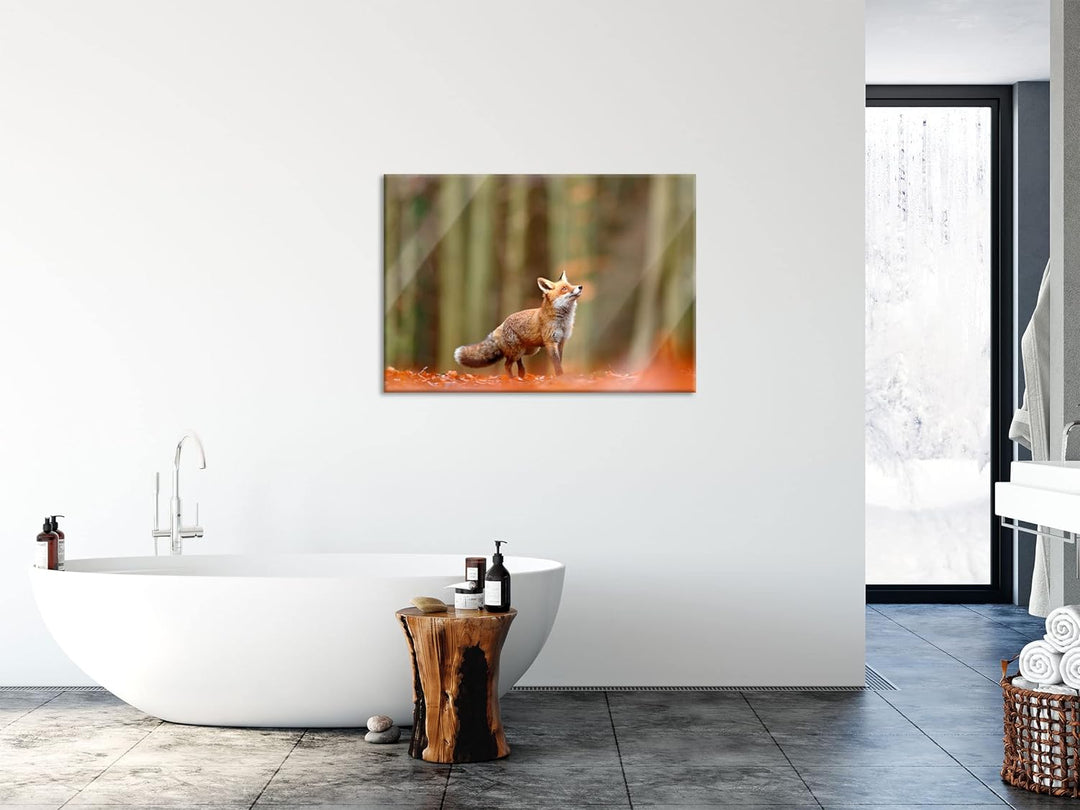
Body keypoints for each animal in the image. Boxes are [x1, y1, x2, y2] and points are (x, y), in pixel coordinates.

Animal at [454, 271, 584, 378]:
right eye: (564, 288)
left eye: (570, 285)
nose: (580, 287)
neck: (563, 321)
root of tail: (502, 324)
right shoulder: (550, 342)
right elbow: (557, 365)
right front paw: (560, 378)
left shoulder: (561, 342)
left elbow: (559, 362)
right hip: (518, 351)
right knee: (507, 365)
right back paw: (512, 379)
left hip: (528, 350)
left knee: (517, 363)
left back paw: (521, 374)